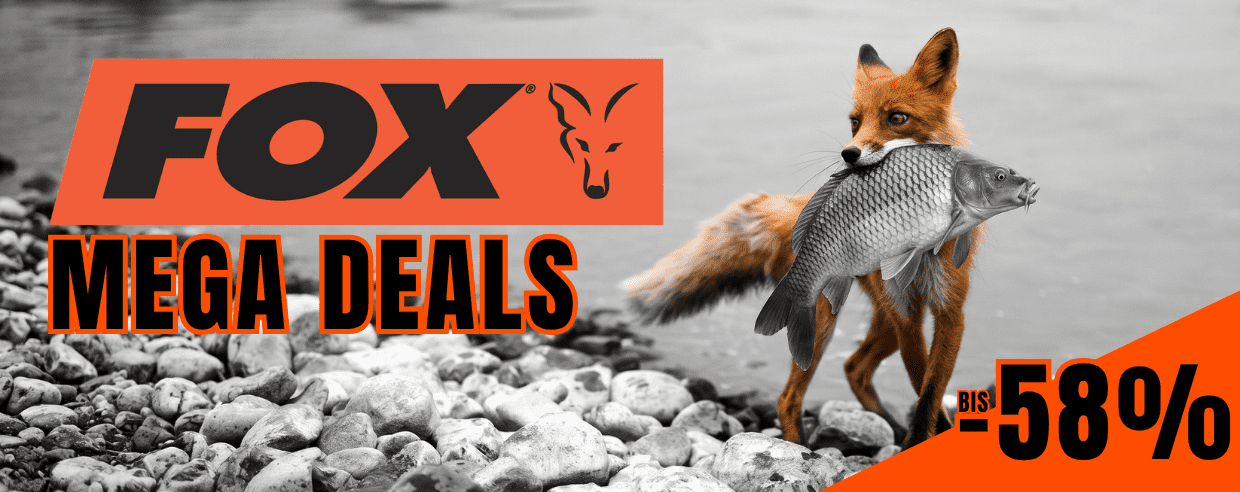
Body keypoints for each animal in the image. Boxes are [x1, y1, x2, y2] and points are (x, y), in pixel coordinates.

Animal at [623, 28, 972, 449]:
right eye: (855, 122)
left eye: (897, 118)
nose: (849, 154)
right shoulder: (906, 314)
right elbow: (924, 389)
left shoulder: (948, 311)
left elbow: (929, 393)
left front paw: (921, 436)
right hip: (826, 320)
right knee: (790, 396)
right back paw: (801, 449)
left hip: (883, 320)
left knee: (854, 367)